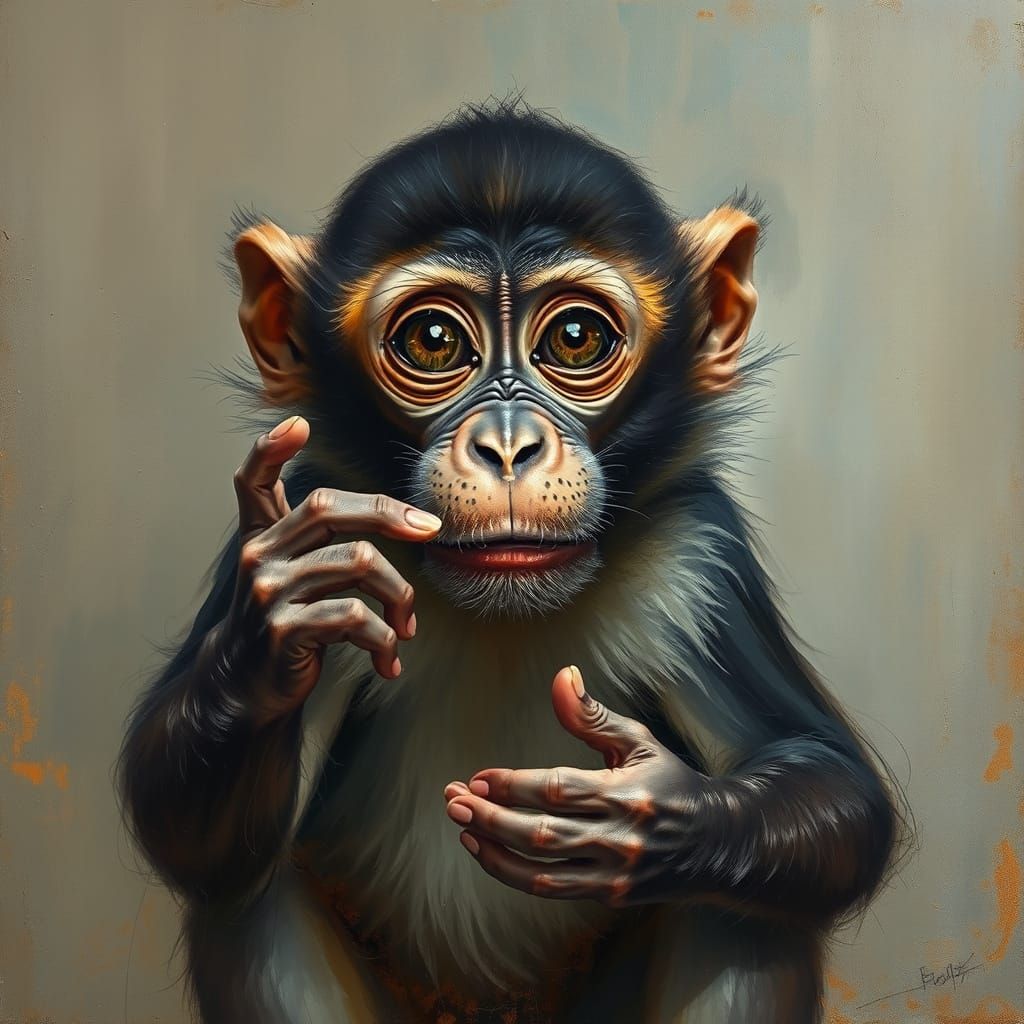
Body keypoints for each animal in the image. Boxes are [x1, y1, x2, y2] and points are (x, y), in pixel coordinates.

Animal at [118, 99, 905, 1024]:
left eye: (574, 337)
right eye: (431, 340)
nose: (506, 446)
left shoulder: (699, 558)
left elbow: (830, 784)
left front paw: (648, 819)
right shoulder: (309, 500)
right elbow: (193, 838)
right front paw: (276, 624)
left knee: (745, 911)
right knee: (250, 897)